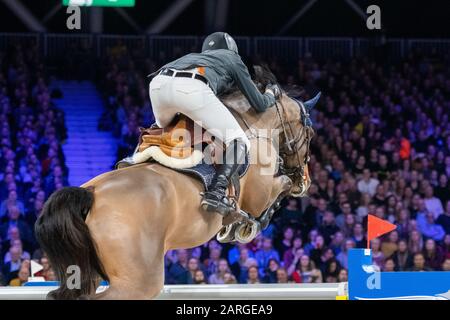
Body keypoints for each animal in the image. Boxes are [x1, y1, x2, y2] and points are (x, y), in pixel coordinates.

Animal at [34, 68, 316, 300]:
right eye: (311, 134)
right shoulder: (259, 195)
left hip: (85, 270)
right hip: (137, 282)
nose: (306, 181)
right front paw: (245, 226)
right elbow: (277, 192)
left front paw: (233, 227)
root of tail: (89, 194)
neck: (254, 126)